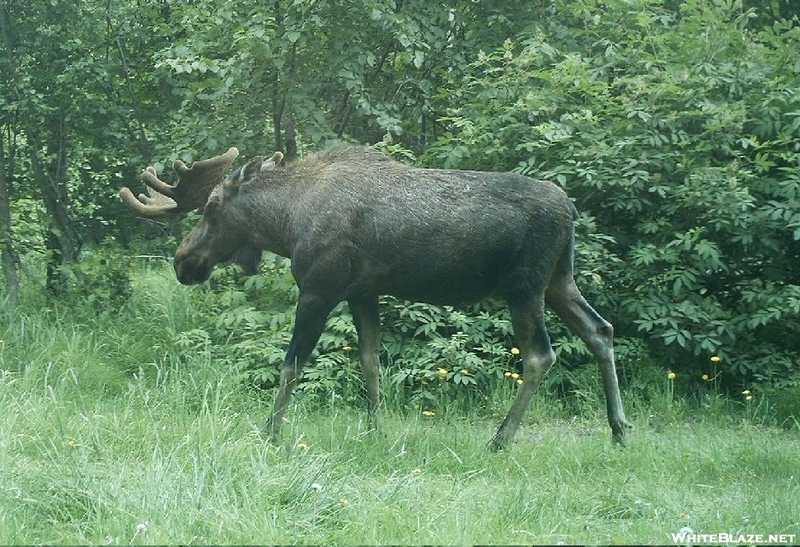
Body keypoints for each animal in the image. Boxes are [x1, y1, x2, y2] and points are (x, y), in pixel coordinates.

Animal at [120, 146, 632, 450]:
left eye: (210, 207)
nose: (183, 261)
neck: (286, 225)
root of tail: (571, 209)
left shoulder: (319, 287)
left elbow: (291, 365)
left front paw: (271, 432)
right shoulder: (363, 292)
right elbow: (369, 360)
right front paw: (375, 431)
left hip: (525, 285)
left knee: (539, 355)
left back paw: (501, 439)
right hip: (559, 279)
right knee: (600, 330)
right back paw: (619, 429)